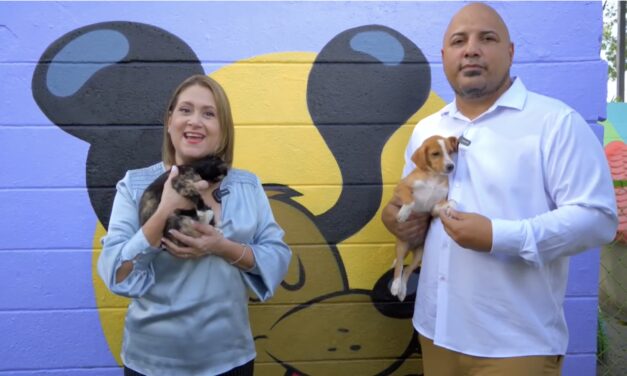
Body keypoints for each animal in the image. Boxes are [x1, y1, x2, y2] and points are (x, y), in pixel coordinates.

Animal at [390, 135, 458, 302]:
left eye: (450, 152)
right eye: (435, 154)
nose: (451, 166)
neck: (434, 177)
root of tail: (411, 246)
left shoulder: (434, 207)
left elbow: (447, 203)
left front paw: (451, 207)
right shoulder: (401, 188)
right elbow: (410, 200)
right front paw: (404, 213)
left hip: (419, 255)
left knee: (407, 270)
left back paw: (402, 290)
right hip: (401, 247)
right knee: (399, 266)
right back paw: (395, 286)